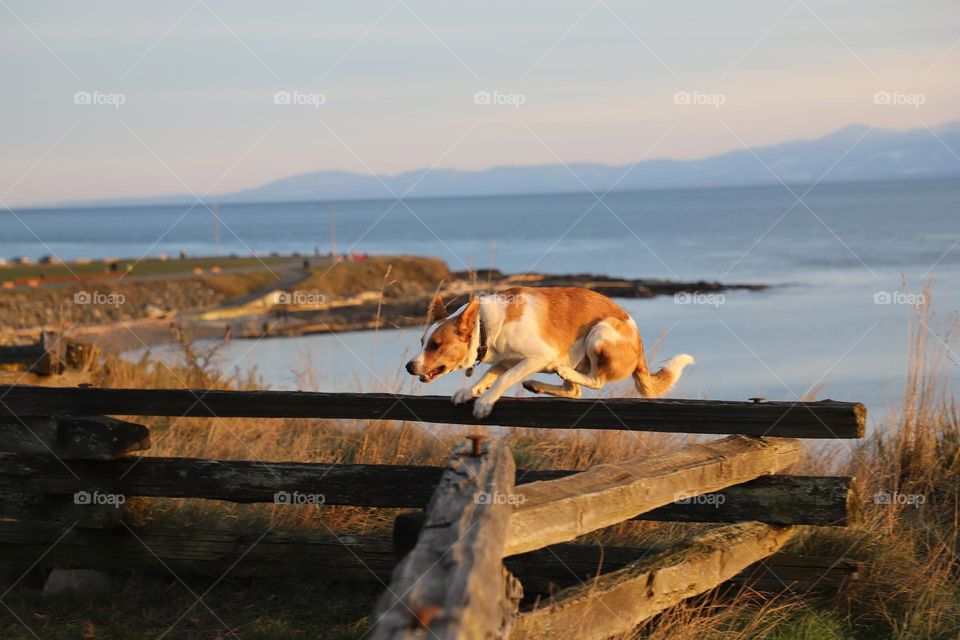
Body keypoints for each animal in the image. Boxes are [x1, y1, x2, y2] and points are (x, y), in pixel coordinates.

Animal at [404, 288, 688, 420]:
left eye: (435, 345)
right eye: (422, 342)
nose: (409, 366)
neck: (485, 326)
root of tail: (640, 348)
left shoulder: (536, 357)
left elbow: (503, 379)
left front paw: (485, 401)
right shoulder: (507, 360)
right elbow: (489, 375)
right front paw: (470, 391)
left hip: (600, 332)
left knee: (596, 381)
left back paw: (559, 373)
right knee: (575, 391)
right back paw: (537, 385)